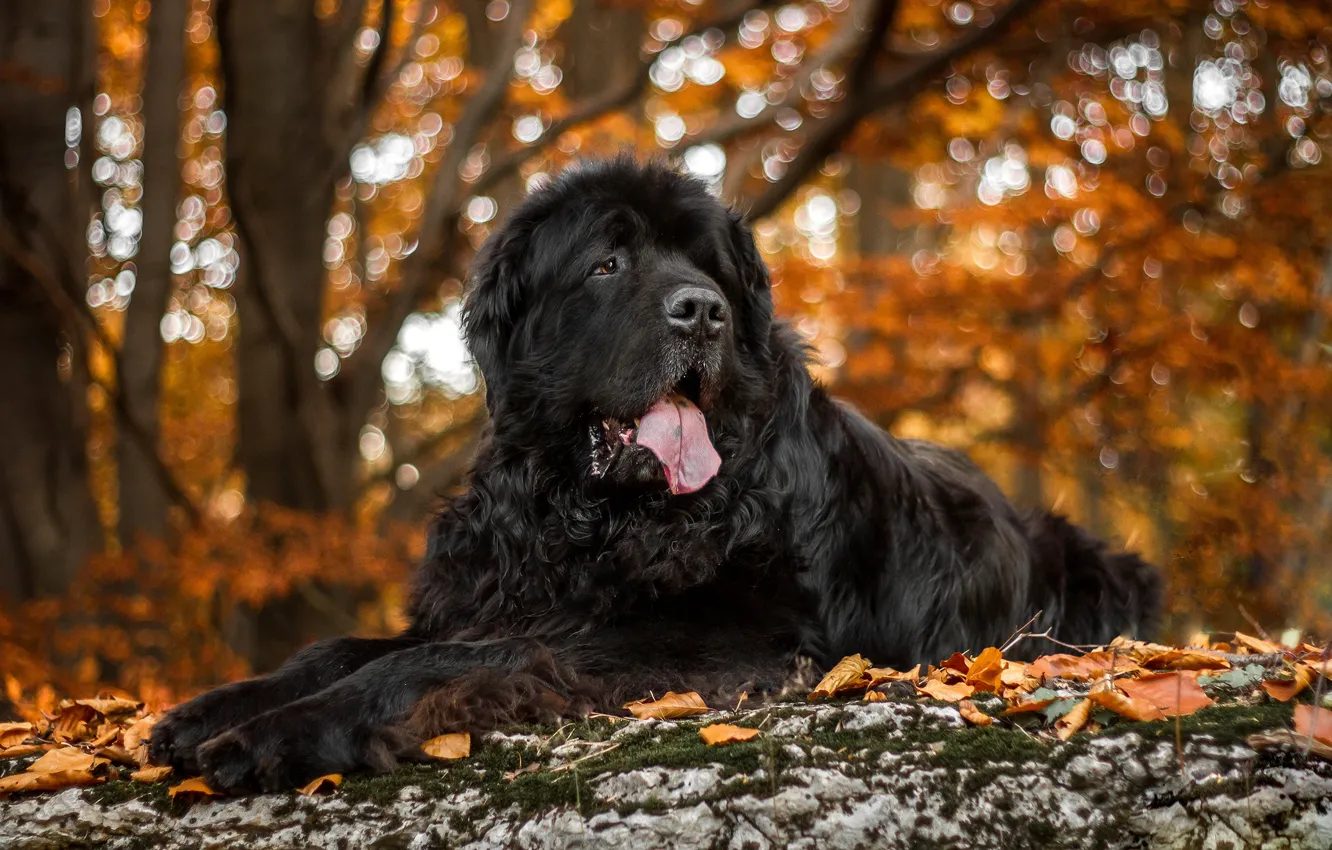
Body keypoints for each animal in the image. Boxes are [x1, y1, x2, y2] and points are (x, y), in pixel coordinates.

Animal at [151, 154, 1161, 794]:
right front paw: (212, 711)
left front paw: (278, 734)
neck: (588, 513)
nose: (702, 311)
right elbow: (342, 647)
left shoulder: (719, 636)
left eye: (709, 268)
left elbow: (450, 658)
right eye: (607, 262)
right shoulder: (496, 590)